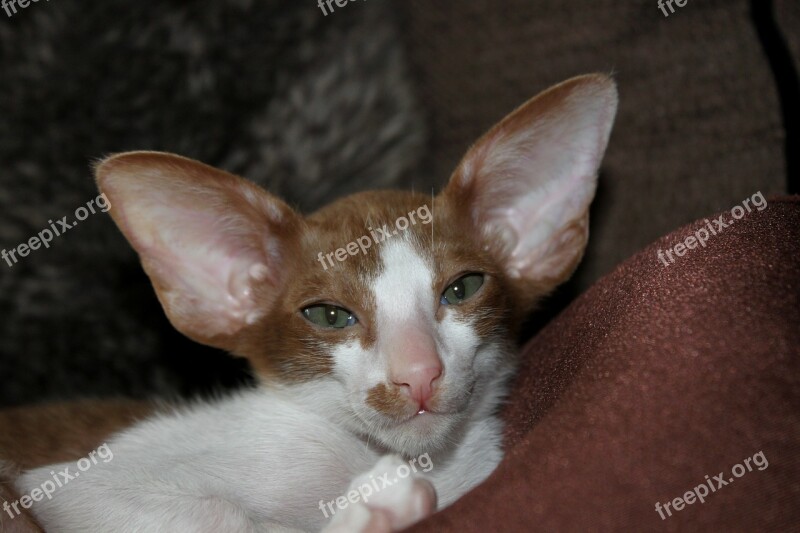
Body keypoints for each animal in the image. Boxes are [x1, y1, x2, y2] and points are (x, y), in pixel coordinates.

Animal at [7, 72, 620, 528]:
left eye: (463, 288)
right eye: (329, 315)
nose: (418, 373)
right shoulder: (60, 487)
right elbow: (229, 518)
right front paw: (370, 509)